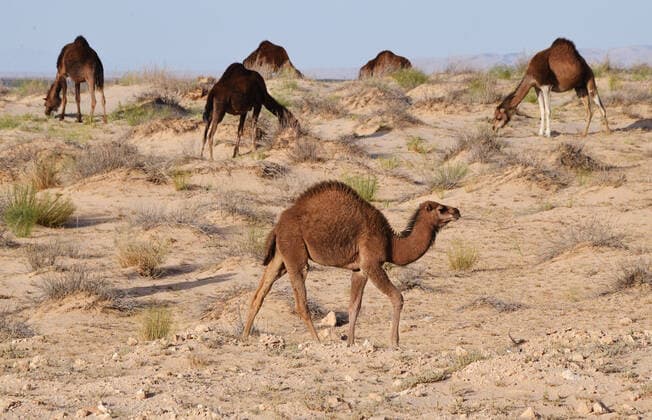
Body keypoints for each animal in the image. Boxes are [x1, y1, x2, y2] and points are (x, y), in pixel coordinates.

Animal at [242, 181, 461, 347]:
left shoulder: (359, 269)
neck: (391, 243)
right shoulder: (372, 264)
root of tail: (278, 225)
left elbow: (354, 306)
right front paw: (394, 342)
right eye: (441, 208)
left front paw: (350, 342)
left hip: (281, 256)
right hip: (295, 251)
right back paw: (317, 341)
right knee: (301, 301)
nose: (457, 211)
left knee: (260, 293)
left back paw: (244, 336)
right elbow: (397, 297)